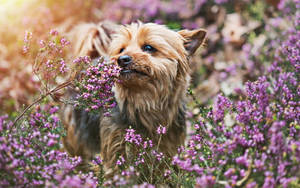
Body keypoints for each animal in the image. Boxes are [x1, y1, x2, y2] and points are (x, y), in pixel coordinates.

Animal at [61, 21, 206, 178]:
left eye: (148, 47)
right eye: (121, 49)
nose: (122, 59)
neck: (146, 100)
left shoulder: (168, 147)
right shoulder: (115, 148)